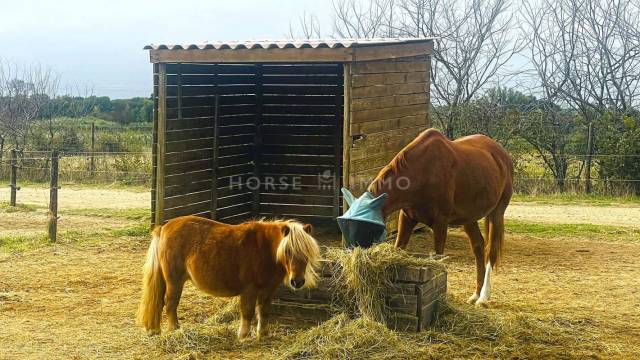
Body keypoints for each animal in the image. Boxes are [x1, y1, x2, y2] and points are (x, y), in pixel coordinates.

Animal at [138, 215, 322, 338]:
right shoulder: (249, 289)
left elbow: (264, 311)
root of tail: (164, 227)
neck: (265, 249)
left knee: (161, 303)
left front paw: (263, 334)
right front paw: (243, 335)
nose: (297, 282)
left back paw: (157, 330)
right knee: (170, 304)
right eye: (288, 251)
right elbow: (247, 312)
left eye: (306, 253)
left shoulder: (268, 289)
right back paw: (175, 330)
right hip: (174, 281)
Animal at [368, 128, 512, 306]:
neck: (422, 171)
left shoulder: (440, 224)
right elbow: (399, 248)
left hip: (496, 213)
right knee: (478, 247)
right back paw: (476, 294)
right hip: (469, 218)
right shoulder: (407, 218)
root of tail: (502, 155)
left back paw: (483, 297)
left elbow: (438, 258)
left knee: (490, 250)